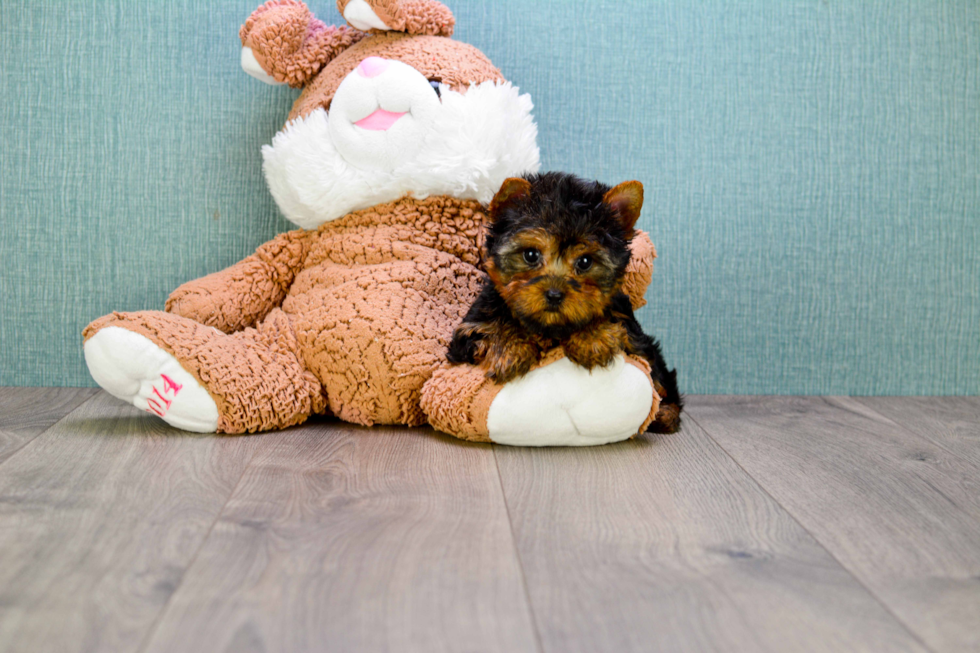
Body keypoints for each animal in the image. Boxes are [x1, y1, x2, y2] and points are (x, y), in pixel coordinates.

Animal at [446, 172, 680, 432]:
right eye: (530, 255)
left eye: (585, 261)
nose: (555, 294)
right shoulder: (470, 328)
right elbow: (492, 324)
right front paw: (509, 347)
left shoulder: (632, 330)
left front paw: (591, 337)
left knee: (663, 381)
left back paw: (666, 414)